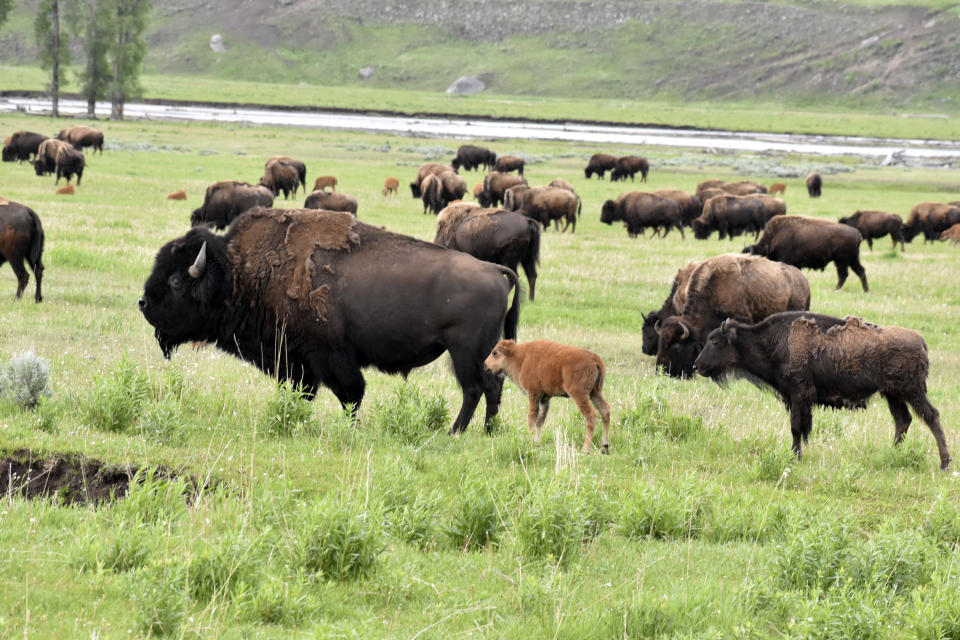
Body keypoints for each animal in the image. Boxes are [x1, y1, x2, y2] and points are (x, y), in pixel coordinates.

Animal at [137, 209, 516, 436]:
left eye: (175, 281)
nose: (143, 304)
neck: (238, 272)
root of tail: (494, 269)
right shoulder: (294, 360)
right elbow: (300, 391)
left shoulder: (327, 355)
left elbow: (350, 393)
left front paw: (350, 428)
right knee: (490, 388)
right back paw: (486, 432)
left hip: (465, 351)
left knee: (476, 388)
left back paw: (457, 432)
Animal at [484, 340, 612, 456]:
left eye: (494, 353)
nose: (485, 365)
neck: (521, 358)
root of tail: (594, 359)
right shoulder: (545, 399)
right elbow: (540, 420)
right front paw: (537, 442)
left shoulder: (534, 395)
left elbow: (532, 418)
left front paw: (529, 441)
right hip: (595, 393)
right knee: (605, 410)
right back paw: (605, 447)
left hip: (579, 394)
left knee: (591, 415)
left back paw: (585, 450)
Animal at [696, 312, 952, 472]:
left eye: (715, 342)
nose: (697, 366)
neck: (773, 341)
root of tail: (920, 341)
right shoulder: (795, 399)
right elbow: (799, 428)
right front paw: (796, 455)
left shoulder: (799, 396)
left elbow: (796, 428)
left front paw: (795, 457)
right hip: (893, 394)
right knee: (903, 420)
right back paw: (893, 454)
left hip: (911, 392)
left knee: (931, 417)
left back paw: (944, 464)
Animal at [744, 218, 872, 292]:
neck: (774, 237)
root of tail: (857, 233)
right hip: (852, 260)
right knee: (860, 271)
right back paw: (865, 290)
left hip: (842, 261)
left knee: (843, 275)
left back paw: (836, 289)